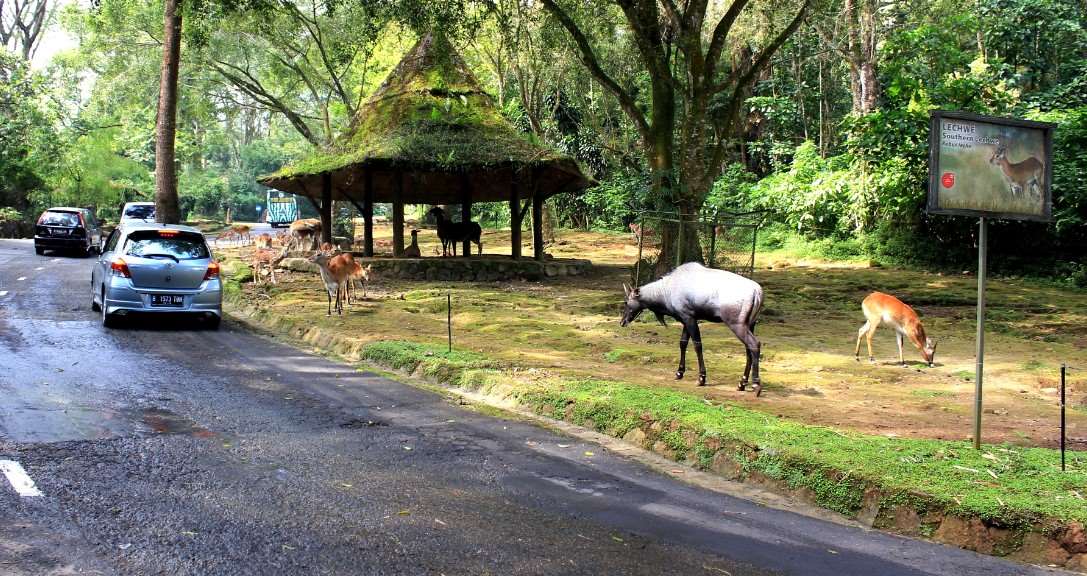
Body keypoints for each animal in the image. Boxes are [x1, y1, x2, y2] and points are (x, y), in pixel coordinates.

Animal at [621, 263, 765, 395]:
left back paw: (756, 385)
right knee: (748, 349)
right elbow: (683, 343)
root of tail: (757, 292)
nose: (622, 322)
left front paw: (701, 378)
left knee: (754, 344)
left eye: (627, 302)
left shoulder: (689, 317)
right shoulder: (686, 319)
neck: (665, 291)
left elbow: (697, 345)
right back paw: (742, 383)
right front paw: (679, 372)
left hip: (737, 324)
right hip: (750, 324)